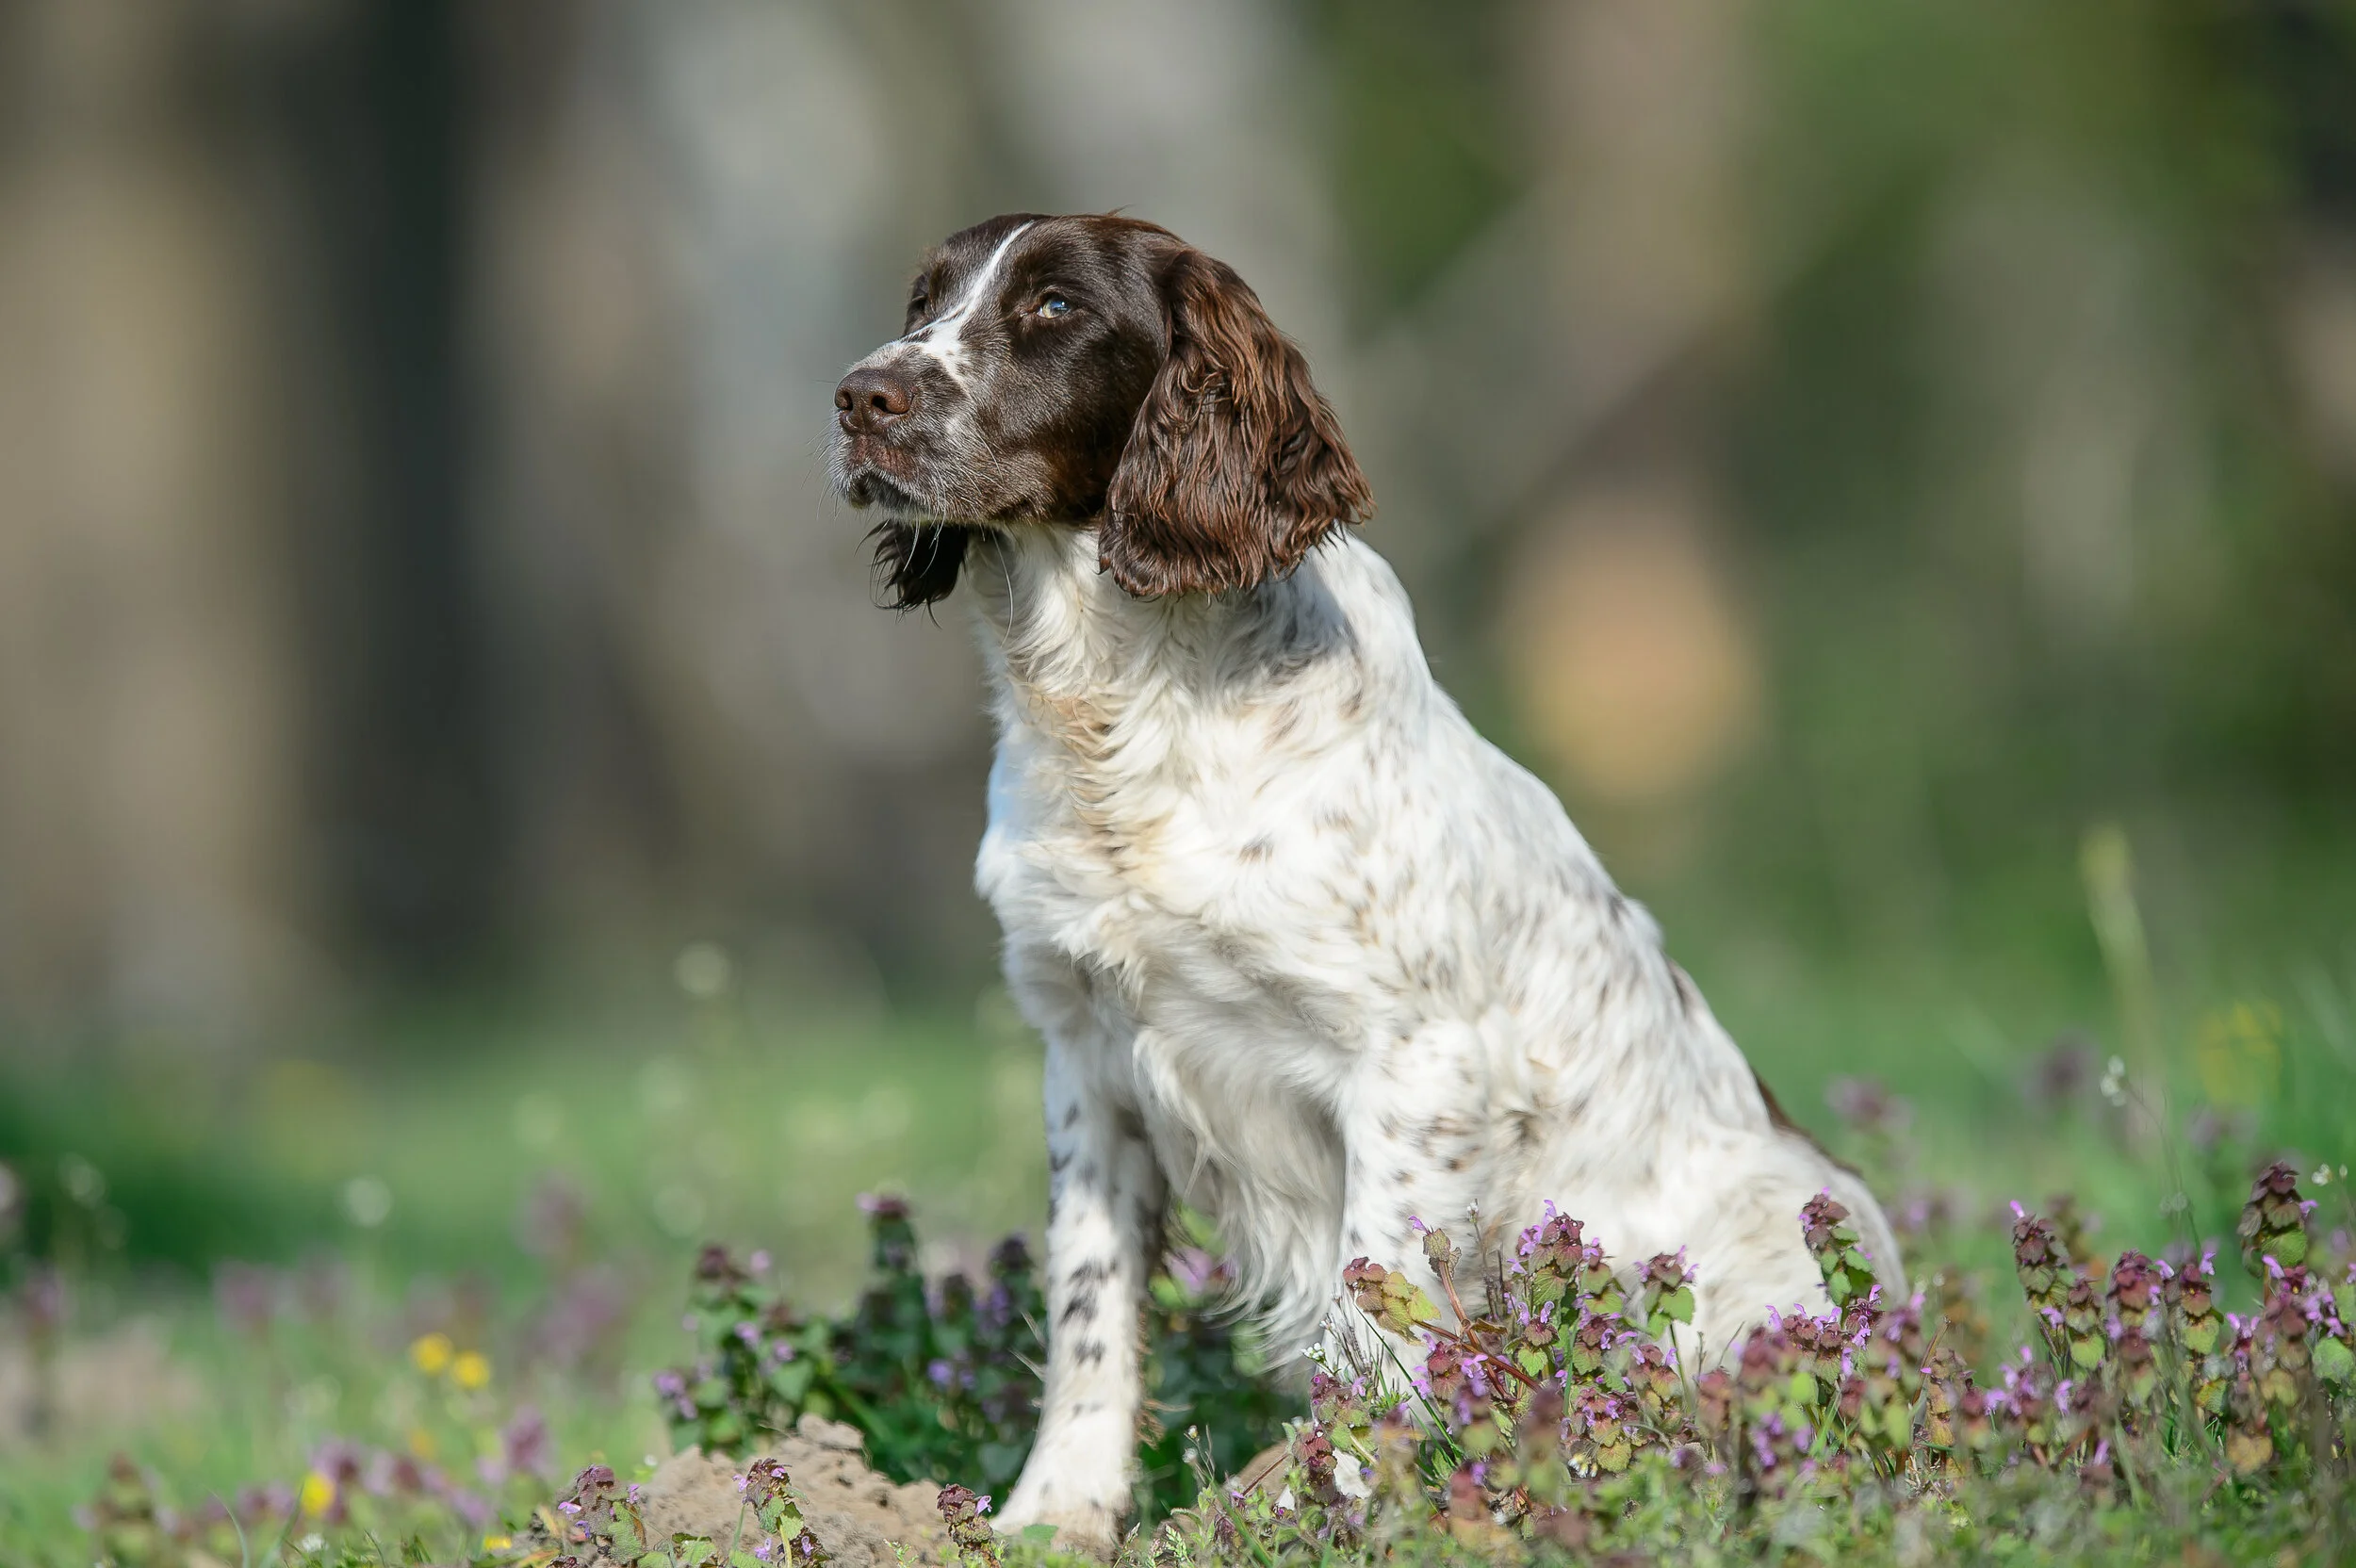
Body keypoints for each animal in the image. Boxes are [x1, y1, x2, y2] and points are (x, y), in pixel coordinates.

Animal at [829, 213, 1901, 1550]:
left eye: (1056, 307)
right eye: (921, 300)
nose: (858, 395)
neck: (1129, 713)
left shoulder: (1415, 1067)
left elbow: (1370, 1313)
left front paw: (1327, 1502)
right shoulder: (1084, 1056)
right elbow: (1089, 1311)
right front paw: (1052, 1514)